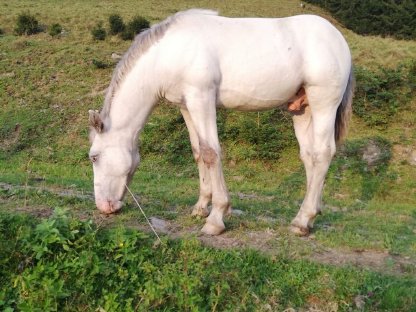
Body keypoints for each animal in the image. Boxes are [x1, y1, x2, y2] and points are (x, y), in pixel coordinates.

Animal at [88, 8, 354, 235]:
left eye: (94, 157)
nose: (103, 206)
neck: (169, 53)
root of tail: (339, 40)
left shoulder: (201, 99)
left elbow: (211, 152)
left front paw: (216, 218)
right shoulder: (186, 106)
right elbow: (197, 151)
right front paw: (200, 207)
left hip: (323, 104)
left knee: (322, 153)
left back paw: (303, 220)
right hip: (302, 110)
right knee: (309, 156)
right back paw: (307, 217)